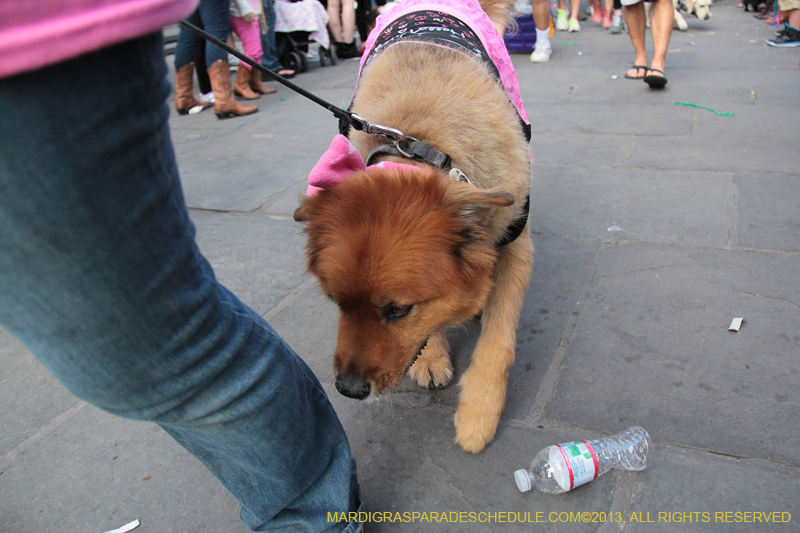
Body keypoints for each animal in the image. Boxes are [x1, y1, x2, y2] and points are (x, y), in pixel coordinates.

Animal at [292, 0, 532, 454]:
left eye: (398, 310)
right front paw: (432, 356)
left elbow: (498, 341)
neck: (422, 143)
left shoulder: (515, 247)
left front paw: (478, 414)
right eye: (337, 303)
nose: (349, 390)